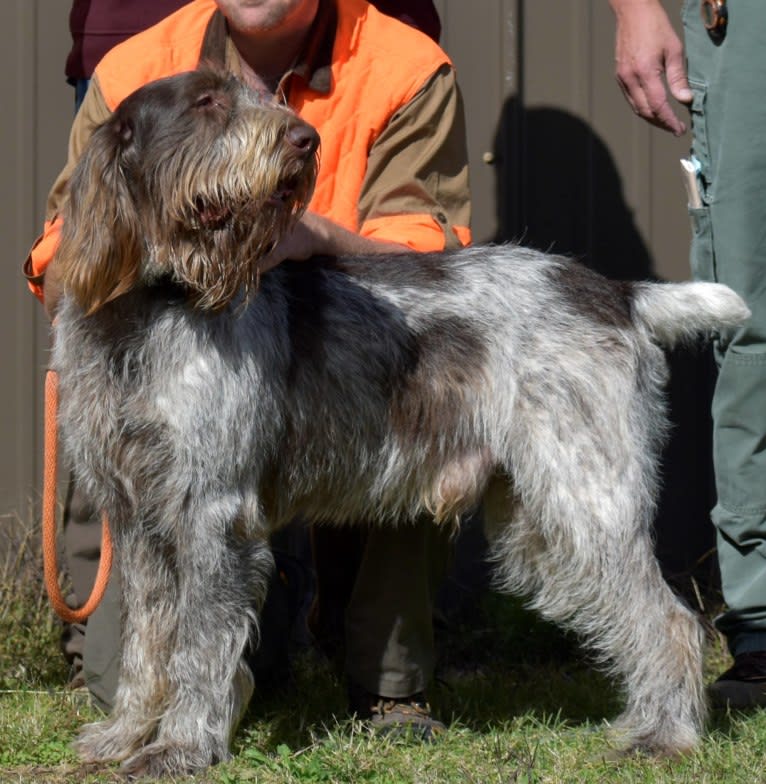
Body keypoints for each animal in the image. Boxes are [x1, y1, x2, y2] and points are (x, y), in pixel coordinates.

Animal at [51, 69, 752, 776]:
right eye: (207, 103)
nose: (304, 140)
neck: (148, 308)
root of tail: (619, 295)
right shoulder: (138, 520)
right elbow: (145, 643)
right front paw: (123, 736)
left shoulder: (211, 514)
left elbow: (197, 648)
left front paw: (181, 748)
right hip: (540, 528)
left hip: (583, 500)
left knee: (672, 622)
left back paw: (663, 736)